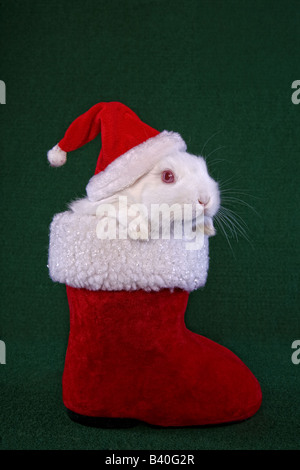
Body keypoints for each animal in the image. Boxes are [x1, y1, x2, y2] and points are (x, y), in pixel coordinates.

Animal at [69, 151, 220, 239]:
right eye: (167, 176)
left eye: (205, 171)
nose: (205, 200)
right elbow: (120, 206)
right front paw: (140, 230)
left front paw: (208, 228)